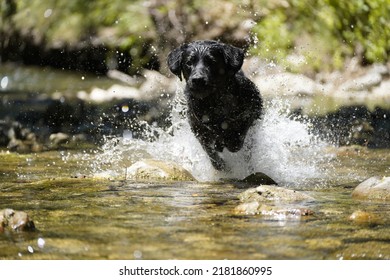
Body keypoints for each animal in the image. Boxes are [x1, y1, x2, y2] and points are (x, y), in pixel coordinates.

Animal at [167, 40, 262, 170]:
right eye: (189, 63)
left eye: (212, 62)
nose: (197, 80)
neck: (213, 102)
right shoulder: (198, 128)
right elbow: (209, 149)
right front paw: (219, 164)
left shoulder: (252, 110)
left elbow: (239, 134)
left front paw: (230, 141)